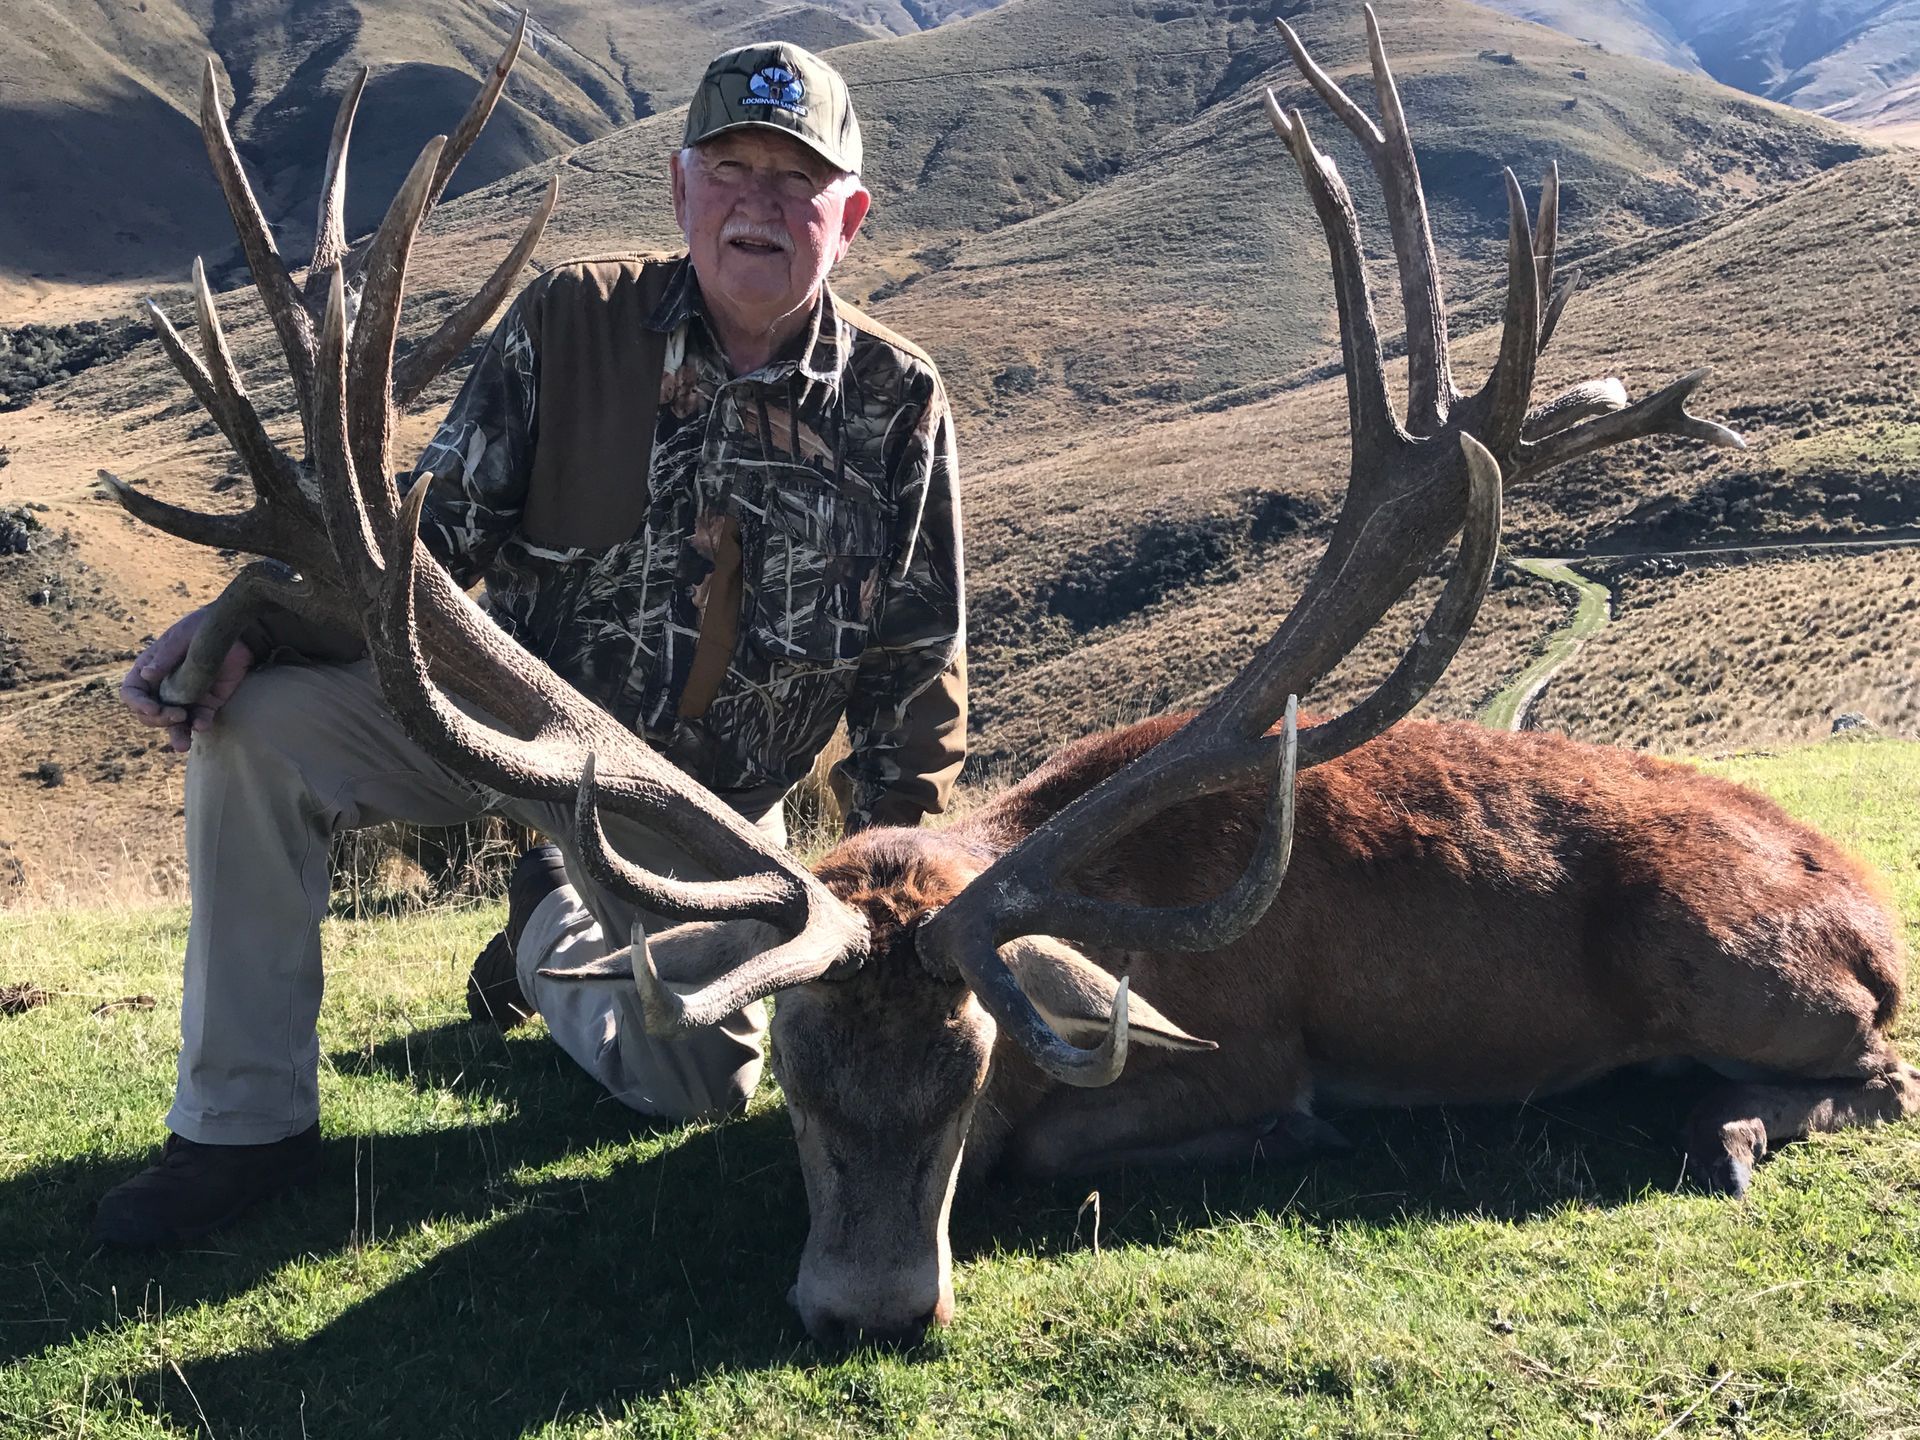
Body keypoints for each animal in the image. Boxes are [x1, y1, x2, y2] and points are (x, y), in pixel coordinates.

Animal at [110, 7, 1915, 1349]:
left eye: (974, 1071)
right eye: (792, 1083)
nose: (869, 1311)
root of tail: (1869, 917)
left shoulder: (1244, 1051)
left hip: (1730, 963)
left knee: (1873, 1072)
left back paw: (1724, 1132)